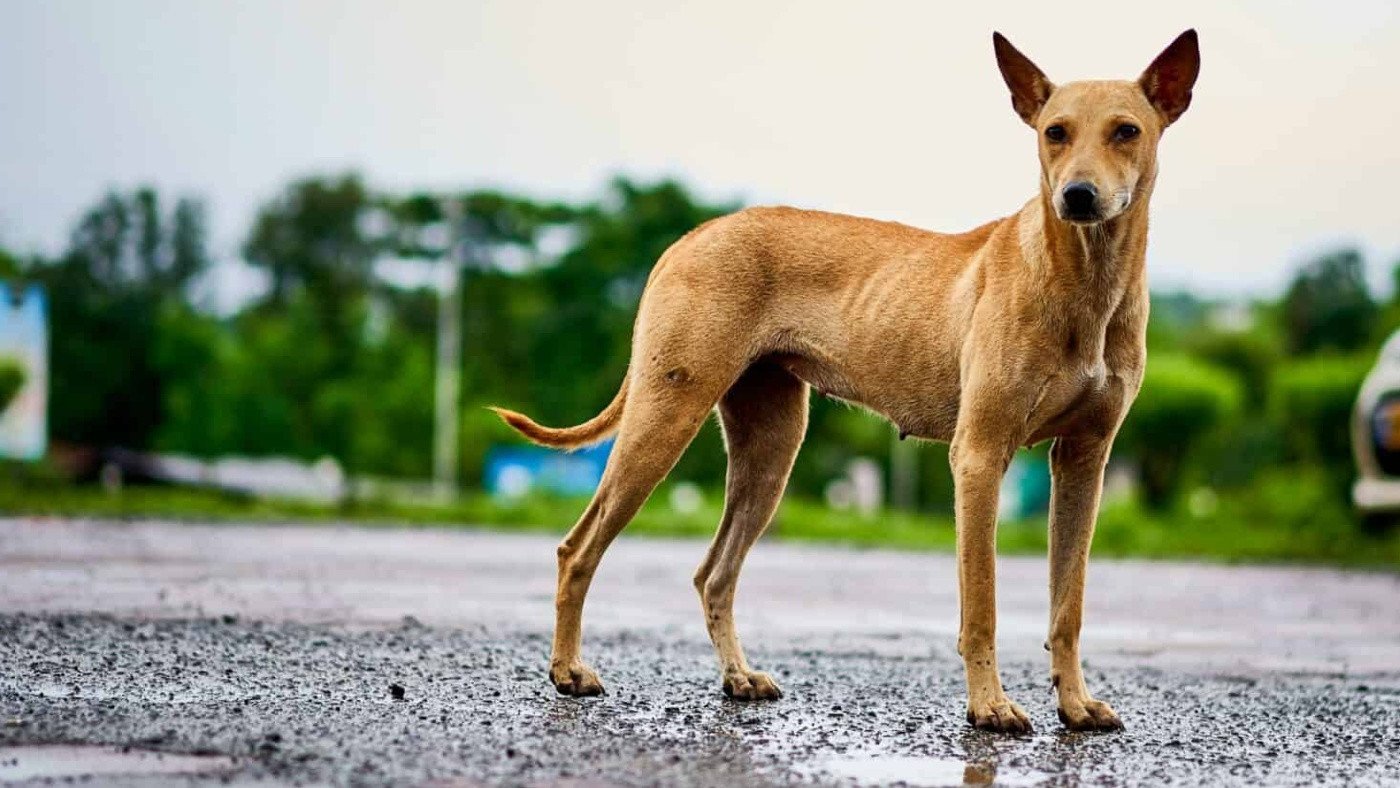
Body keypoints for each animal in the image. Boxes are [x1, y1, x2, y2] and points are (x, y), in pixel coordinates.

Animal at [487, 30, 1198, 733]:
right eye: (1055, 132)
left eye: (1126, 131)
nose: (1076, 195)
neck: (1082, 278)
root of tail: (695, 235)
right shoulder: (978, 456)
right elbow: (982, 605)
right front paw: (989, 706)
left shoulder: (1084, 462)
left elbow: (1067, 605)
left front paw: (1075, 704)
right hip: (664, 419)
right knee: (578, 550)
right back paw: (568, 670)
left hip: (770, 452)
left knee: (713, 574)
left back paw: (737, 676)